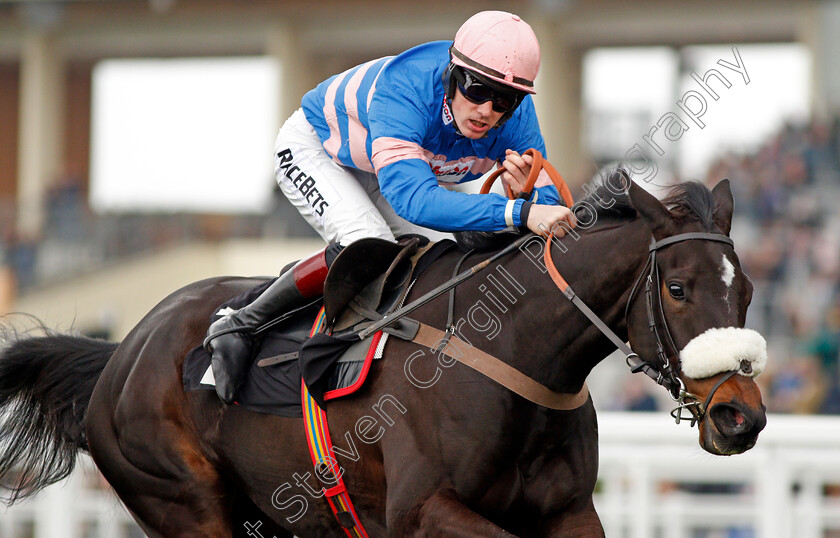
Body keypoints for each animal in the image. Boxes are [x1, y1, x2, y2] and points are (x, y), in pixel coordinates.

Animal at [0, 176, 764, 532]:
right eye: (677, 288)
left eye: (749, 290)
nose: (742, 418)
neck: (508, 353)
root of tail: (119, 355)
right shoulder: (422, 511)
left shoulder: (571, 512)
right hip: (180, 498)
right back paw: (233, 337)